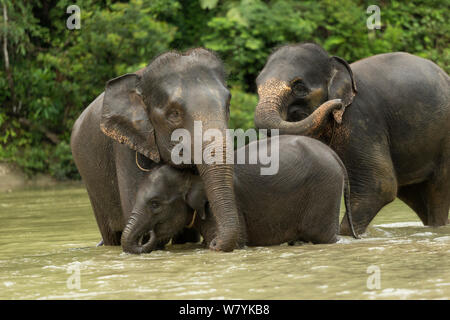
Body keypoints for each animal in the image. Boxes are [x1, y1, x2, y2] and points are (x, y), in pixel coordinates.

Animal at [119, 134, 358, 254]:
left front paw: (215, 245)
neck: (191, 175)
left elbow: (238, 240)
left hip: (325, 190)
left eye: (155, 204)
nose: (149, 234)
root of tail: (334, 156)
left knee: (323, 237)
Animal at [255, 42, 448, 235]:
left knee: (438, 191)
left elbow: (380, 185)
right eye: (257, 88)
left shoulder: (360, 120)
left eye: (299, 88)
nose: (337, 103)